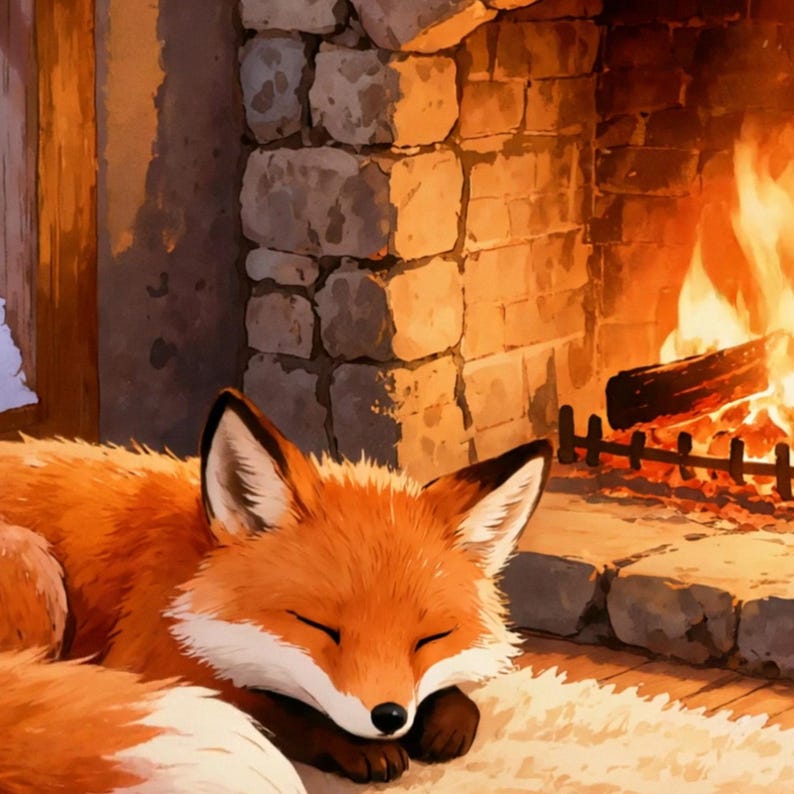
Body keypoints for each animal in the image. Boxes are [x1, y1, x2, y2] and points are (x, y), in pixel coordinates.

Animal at [0, 388, 551, 792]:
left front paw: (445, 717)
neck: (187, 569)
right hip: (35, 565)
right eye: (319, 627)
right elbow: (275, 709)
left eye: (429, 639)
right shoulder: (147, 660)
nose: (390, 717)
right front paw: (361, 747)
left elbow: (461, 699)